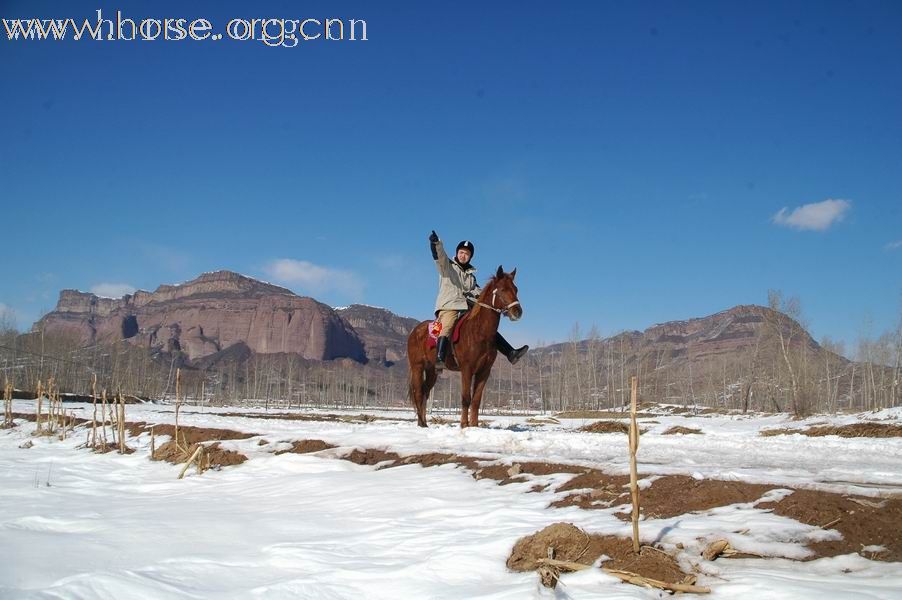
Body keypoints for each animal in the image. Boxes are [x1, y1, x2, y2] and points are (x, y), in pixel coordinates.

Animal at [408, 266, 528, 426]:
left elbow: (476, 400)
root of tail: (415, 331)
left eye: (516, 289)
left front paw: (475, 425)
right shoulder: (467, 369)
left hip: (432, 370)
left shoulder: (484, 371)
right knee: (418, 393)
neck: (478, 332)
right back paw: (422, 423)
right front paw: (464, 425)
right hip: (417, 367)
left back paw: (423, 423)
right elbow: (466, 398)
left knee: (425, 393)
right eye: (502, 289)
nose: (518, 312)